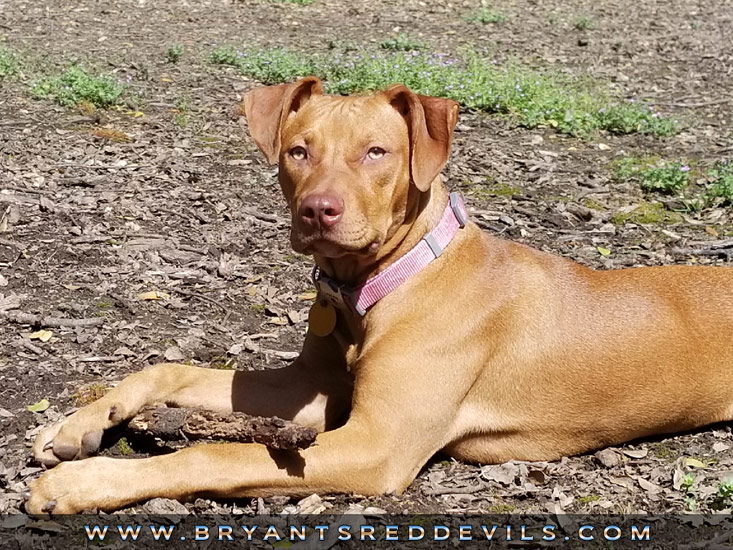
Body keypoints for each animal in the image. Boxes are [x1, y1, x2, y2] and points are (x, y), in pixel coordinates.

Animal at [27, 75, 732, 516]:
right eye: (297, 151)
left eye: (377, 152)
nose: (318, 211)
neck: (376, 285)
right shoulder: (308, 387)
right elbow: (169, 368)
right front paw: (79, 426)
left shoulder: (376, 444)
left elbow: (214, 453)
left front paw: (89, 481)